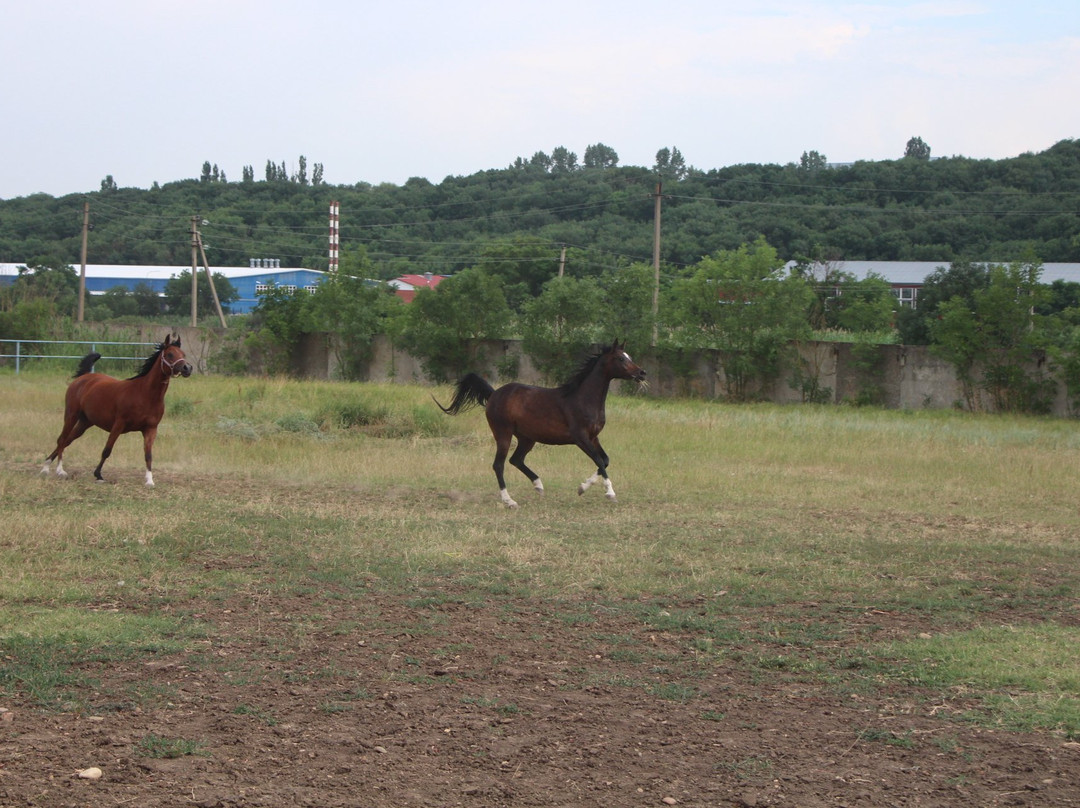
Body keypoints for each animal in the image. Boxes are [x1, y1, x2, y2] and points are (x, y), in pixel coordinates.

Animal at [42, 334, 195, 486]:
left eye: (183, 354)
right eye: (170, 354)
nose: (187, 368)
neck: (144, 394)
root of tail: (83, 377)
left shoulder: (150, 429)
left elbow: (148, 455)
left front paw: (149, 480)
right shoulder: (118, 425)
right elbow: (107, 450)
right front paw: (98, 475)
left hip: (85, 423)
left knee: (67, 440)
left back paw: (46, 466)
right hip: (71, 416)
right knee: (62, 440)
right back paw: (58, 470)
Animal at [434, 339, 643, 505]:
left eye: (629, 356)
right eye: (621, 358)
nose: (642, 373)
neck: (583, 398)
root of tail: (494, 394)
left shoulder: (593, 437)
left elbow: (605, 461)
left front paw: (582, 487)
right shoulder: (580, 437)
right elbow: (599, 460)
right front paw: (609, 493)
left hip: (527, 438)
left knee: (516, 460)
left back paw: (539, 486)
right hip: (503, 434)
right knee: (499, 465)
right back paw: (509, 501)